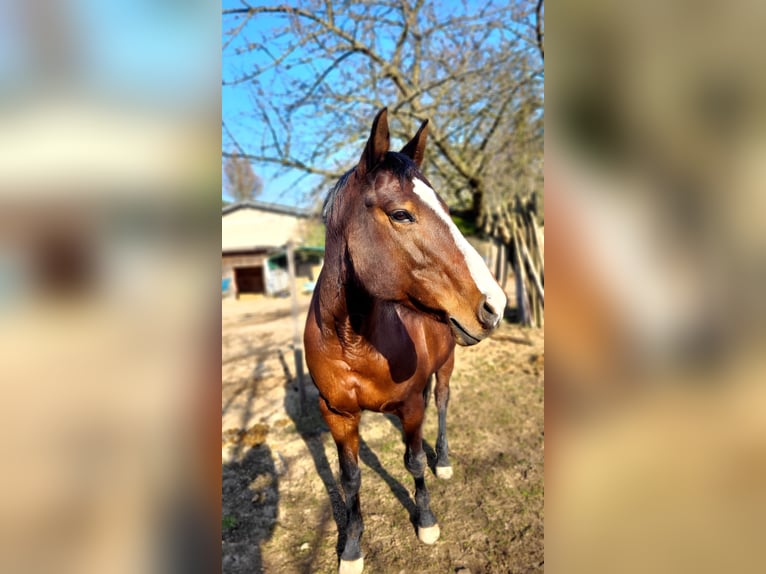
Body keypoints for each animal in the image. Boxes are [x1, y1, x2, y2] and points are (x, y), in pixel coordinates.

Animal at [304, 108, 506, 574]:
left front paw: (426, 520)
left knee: (443, 402)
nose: (496, 304)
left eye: (448, 210)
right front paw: (352, 547)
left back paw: (443, 460)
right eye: (401, 214)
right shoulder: (337, 414)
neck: (353, 341)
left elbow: (412, 460)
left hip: (446, 367)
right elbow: (350, 478)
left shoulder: (411, 404)